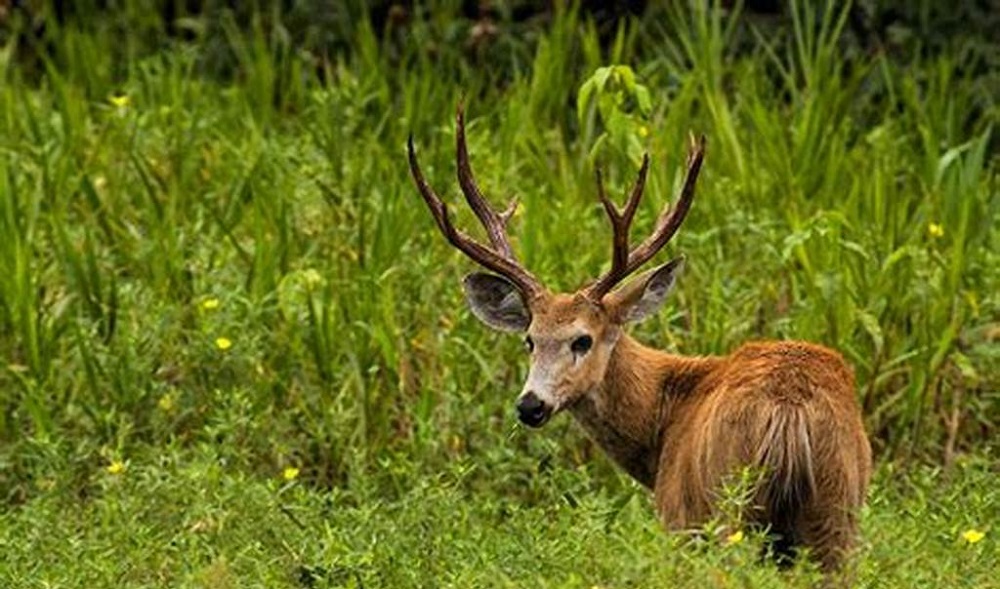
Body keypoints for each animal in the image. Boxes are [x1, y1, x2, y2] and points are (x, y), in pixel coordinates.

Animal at [404, 104, 868, 568]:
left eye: (583, 339)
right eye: (530, 340)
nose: (530, 405)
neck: (664, 421)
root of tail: (790, 411)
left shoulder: (678, 514)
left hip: (727, 506)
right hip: (837, 511)